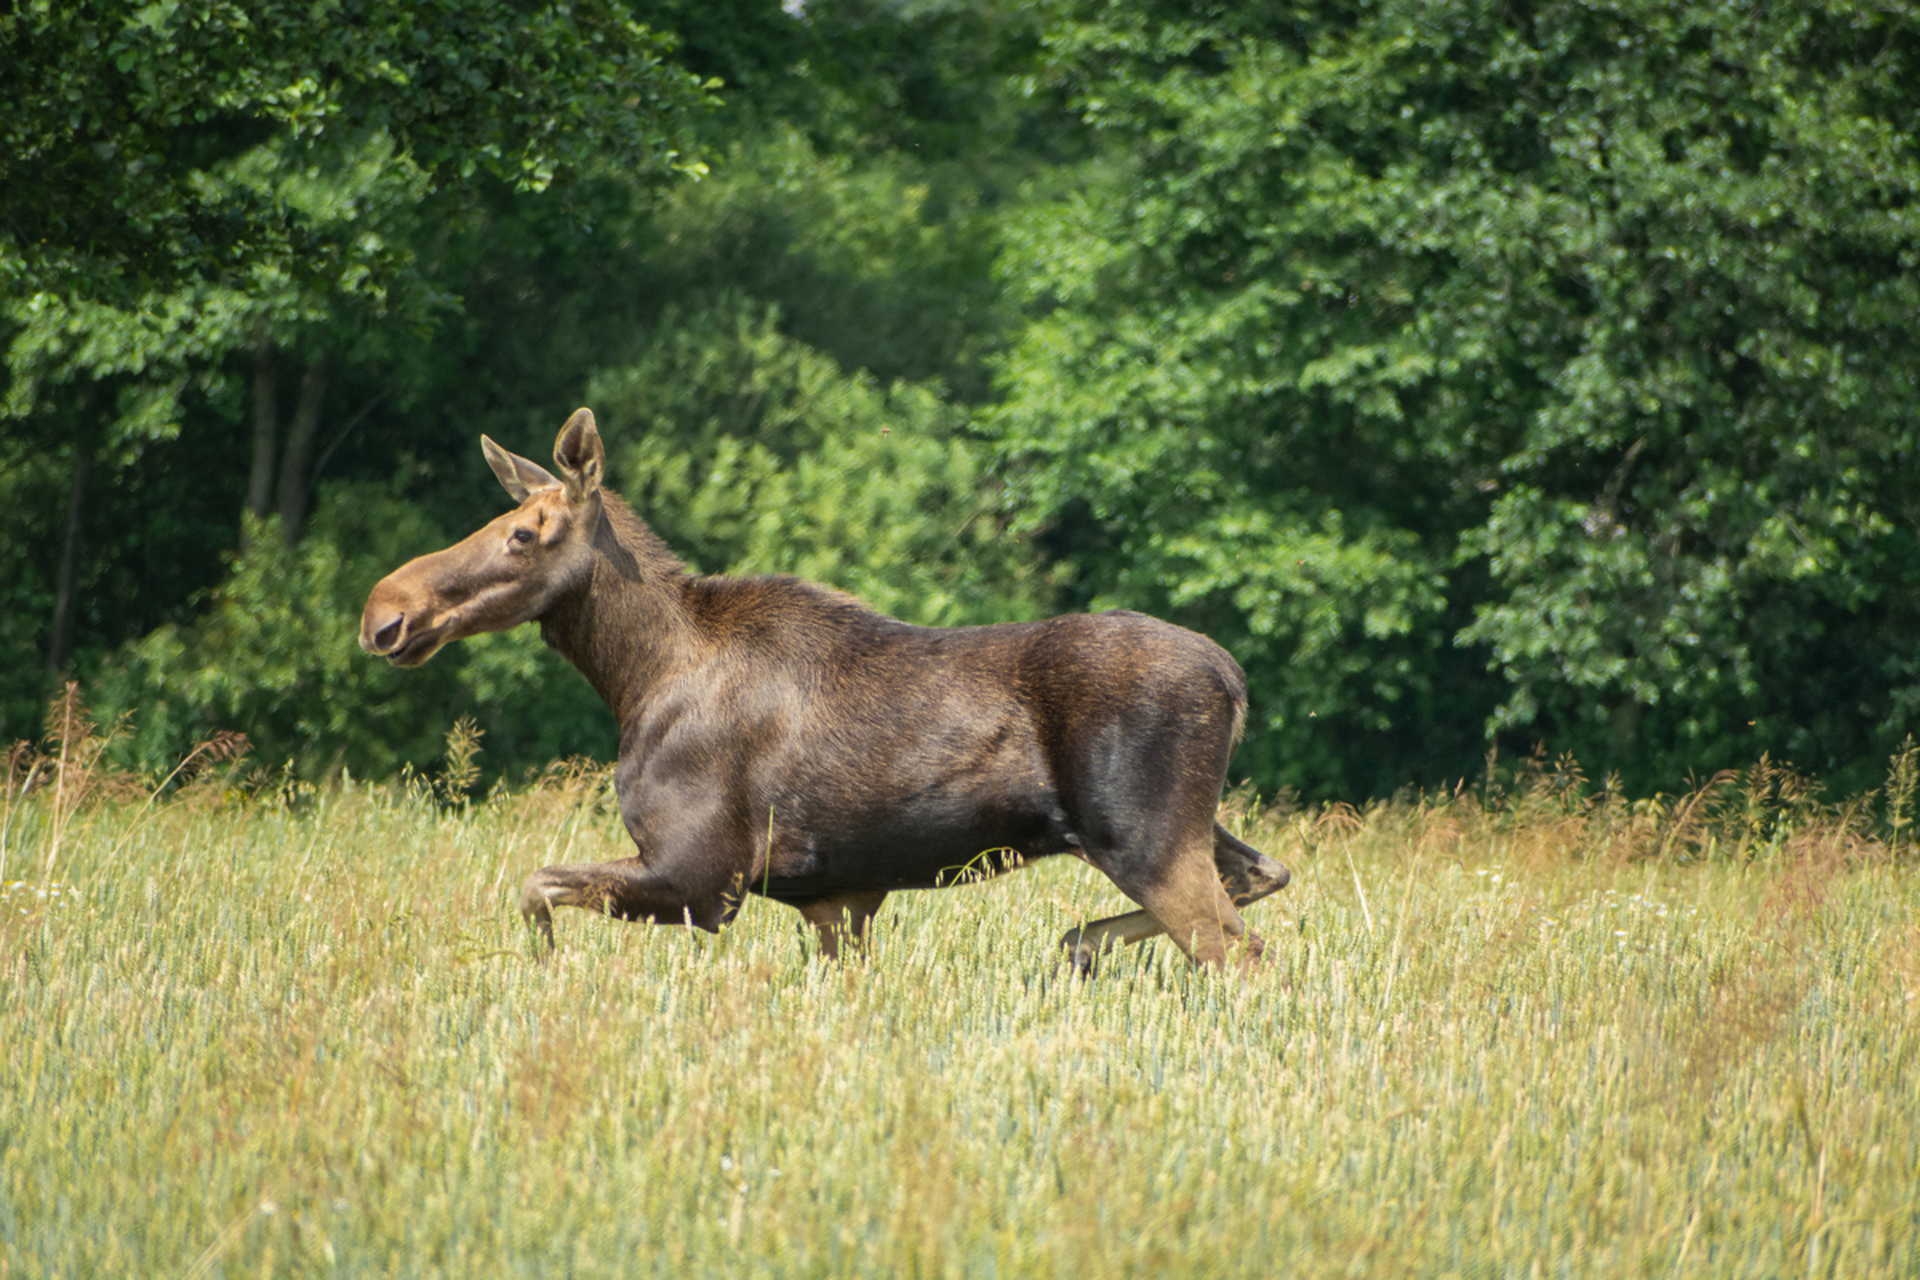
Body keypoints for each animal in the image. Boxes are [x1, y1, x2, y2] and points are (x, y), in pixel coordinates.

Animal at [360, 410, 1290, 971]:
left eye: (524, 533)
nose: (385, 613)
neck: (634, 677)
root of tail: (1234, 677)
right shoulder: (834, 903)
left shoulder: (702, 877)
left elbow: (534, 887)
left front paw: (548, 969)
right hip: (1174, 830)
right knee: (1264, 875)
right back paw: (1080, 946)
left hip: (1145, 837)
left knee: (1248, 957)